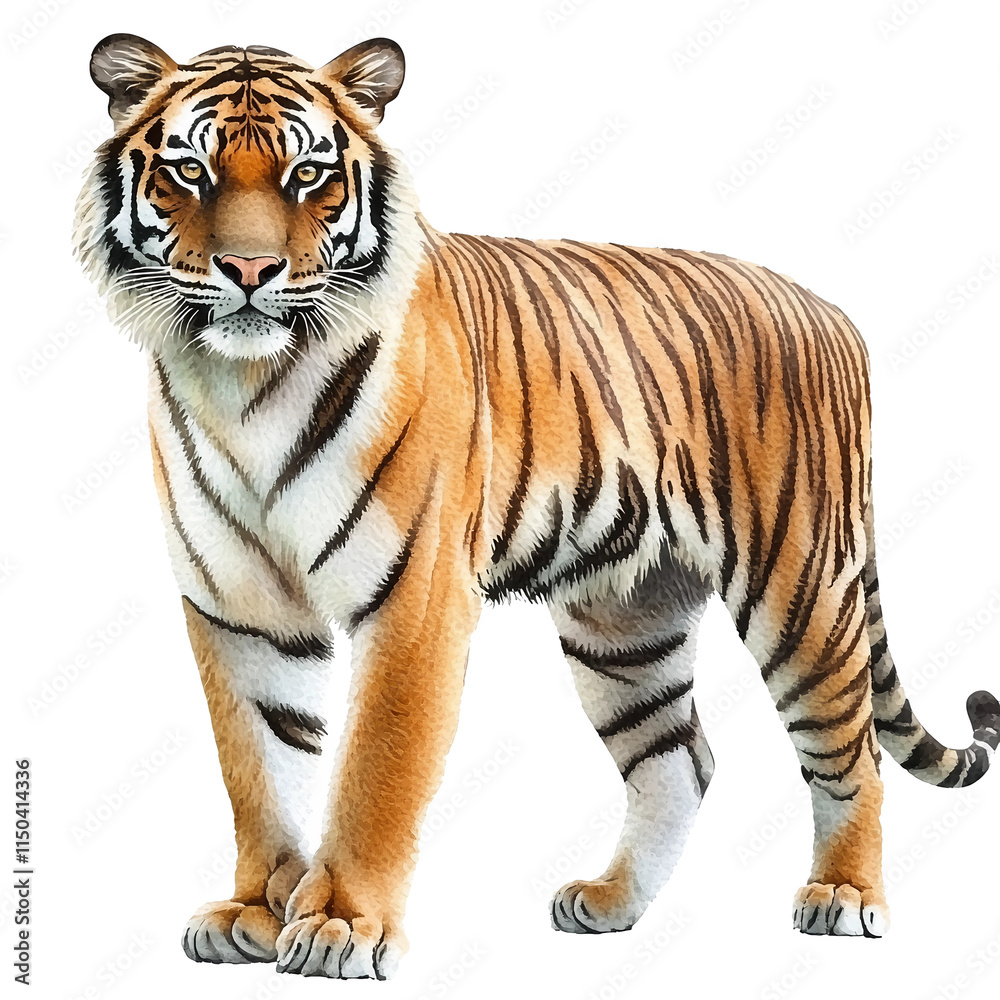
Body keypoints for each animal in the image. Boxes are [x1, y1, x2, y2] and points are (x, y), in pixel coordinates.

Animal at [74, 32, 1000, 980]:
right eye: (189, 170)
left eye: (308, 175)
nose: (251, 271)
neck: (245, 383)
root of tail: (833, 312)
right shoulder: (238, 608)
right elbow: (257, 765)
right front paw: (257, 911)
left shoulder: (414, 598)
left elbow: (375, 770)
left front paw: (340, 926)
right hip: (625, 618)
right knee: (681, 760)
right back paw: (612, 903)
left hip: (800, 585)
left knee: (851, 747)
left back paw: (843, 895)